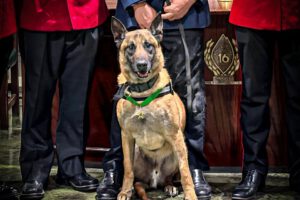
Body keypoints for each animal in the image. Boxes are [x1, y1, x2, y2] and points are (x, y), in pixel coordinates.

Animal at [110, 14, 197, 200]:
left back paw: (170, 187)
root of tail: (154, 180)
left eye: (148, 45)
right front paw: (125, 192)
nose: (142, 65)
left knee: (172, 176)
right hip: (136, 153)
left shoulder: (175, 135)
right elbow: (127, 170)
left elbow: (186, 172)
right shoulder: (126, 136)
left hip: (178, 150)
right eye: (130, 47)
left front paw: (191, 195)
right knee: (138, 181)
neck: (142, 92)